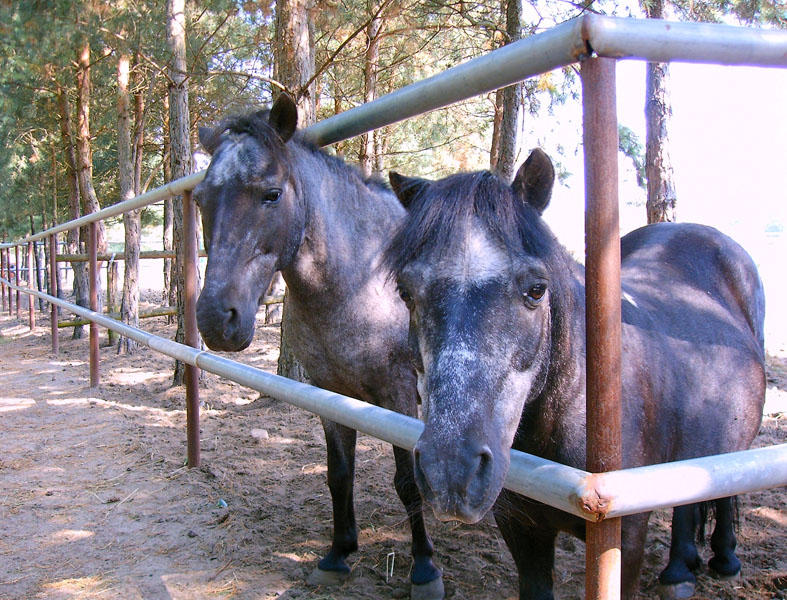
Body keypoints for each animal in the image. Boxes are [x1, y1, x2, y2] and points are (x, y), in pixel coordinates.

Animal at [193, 96, 444, 596]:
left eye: (271, 194)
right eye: (200, 200)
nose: (216, 319)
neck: (362, 278)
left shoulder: (399, 395)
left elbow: (405, 480)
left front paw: (424, 567)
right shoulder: (330, 393)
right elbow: (338, 473)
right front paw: (338, 553)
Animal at [384, 148, 768, 596]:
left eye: (536, 289)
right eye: (406, 293)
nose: (450, 472)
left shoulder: (624, 541)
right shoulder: (521, 529)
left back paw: (722, 559)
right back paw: (680, 570)